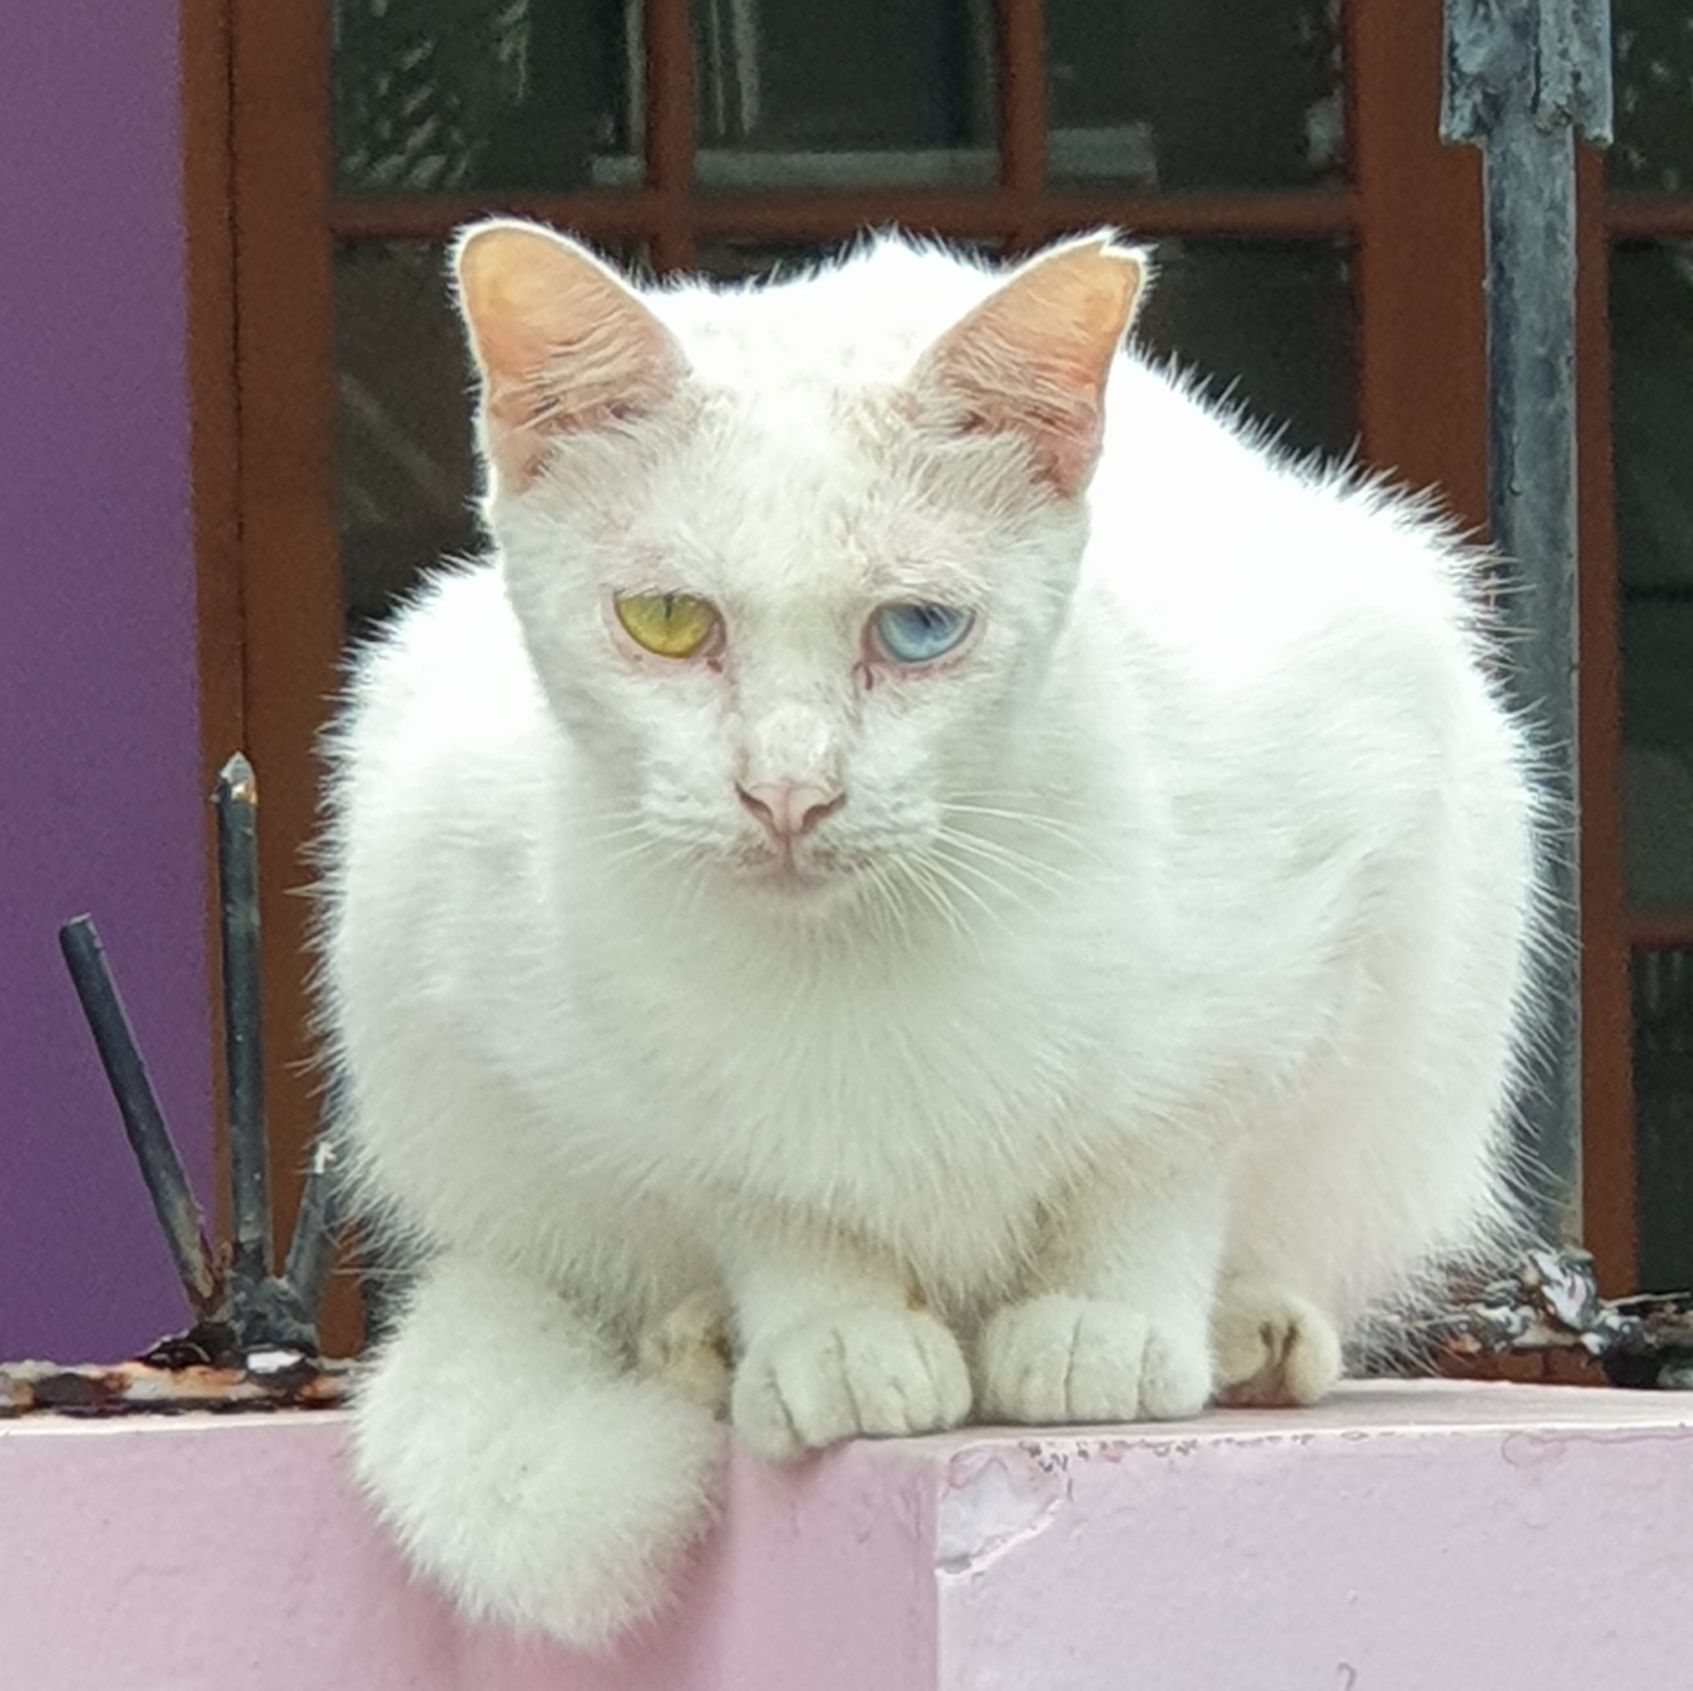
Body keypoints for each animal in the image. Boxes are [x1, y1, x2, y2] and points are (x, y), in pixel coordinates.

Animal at [318, 218, 1550, 1645]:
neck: (865, 961)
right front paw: (829, 1329)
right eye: (667, 620)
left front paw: (1099, 1321)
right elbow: (759, 1194)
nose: (787, 792)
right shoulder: (554, 1013)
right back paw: (705, 1341)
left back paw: (1247, 1329)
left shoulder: (1324, 882)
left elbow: (1160, 1155)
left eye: (917, 629)